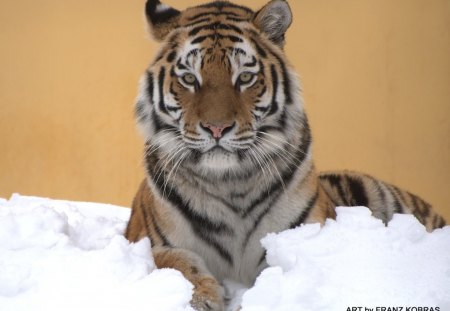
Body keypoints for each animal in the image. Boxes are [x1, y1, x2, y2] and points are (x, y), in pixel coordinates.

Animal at [123, 1, 446, 310]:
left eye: (245, 77)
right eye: (190, 78)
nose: (217, 128)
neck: (229, 182)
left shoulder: (298, 236)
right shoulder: (152, 242)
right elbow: (178, 264)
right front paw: (204, 298)